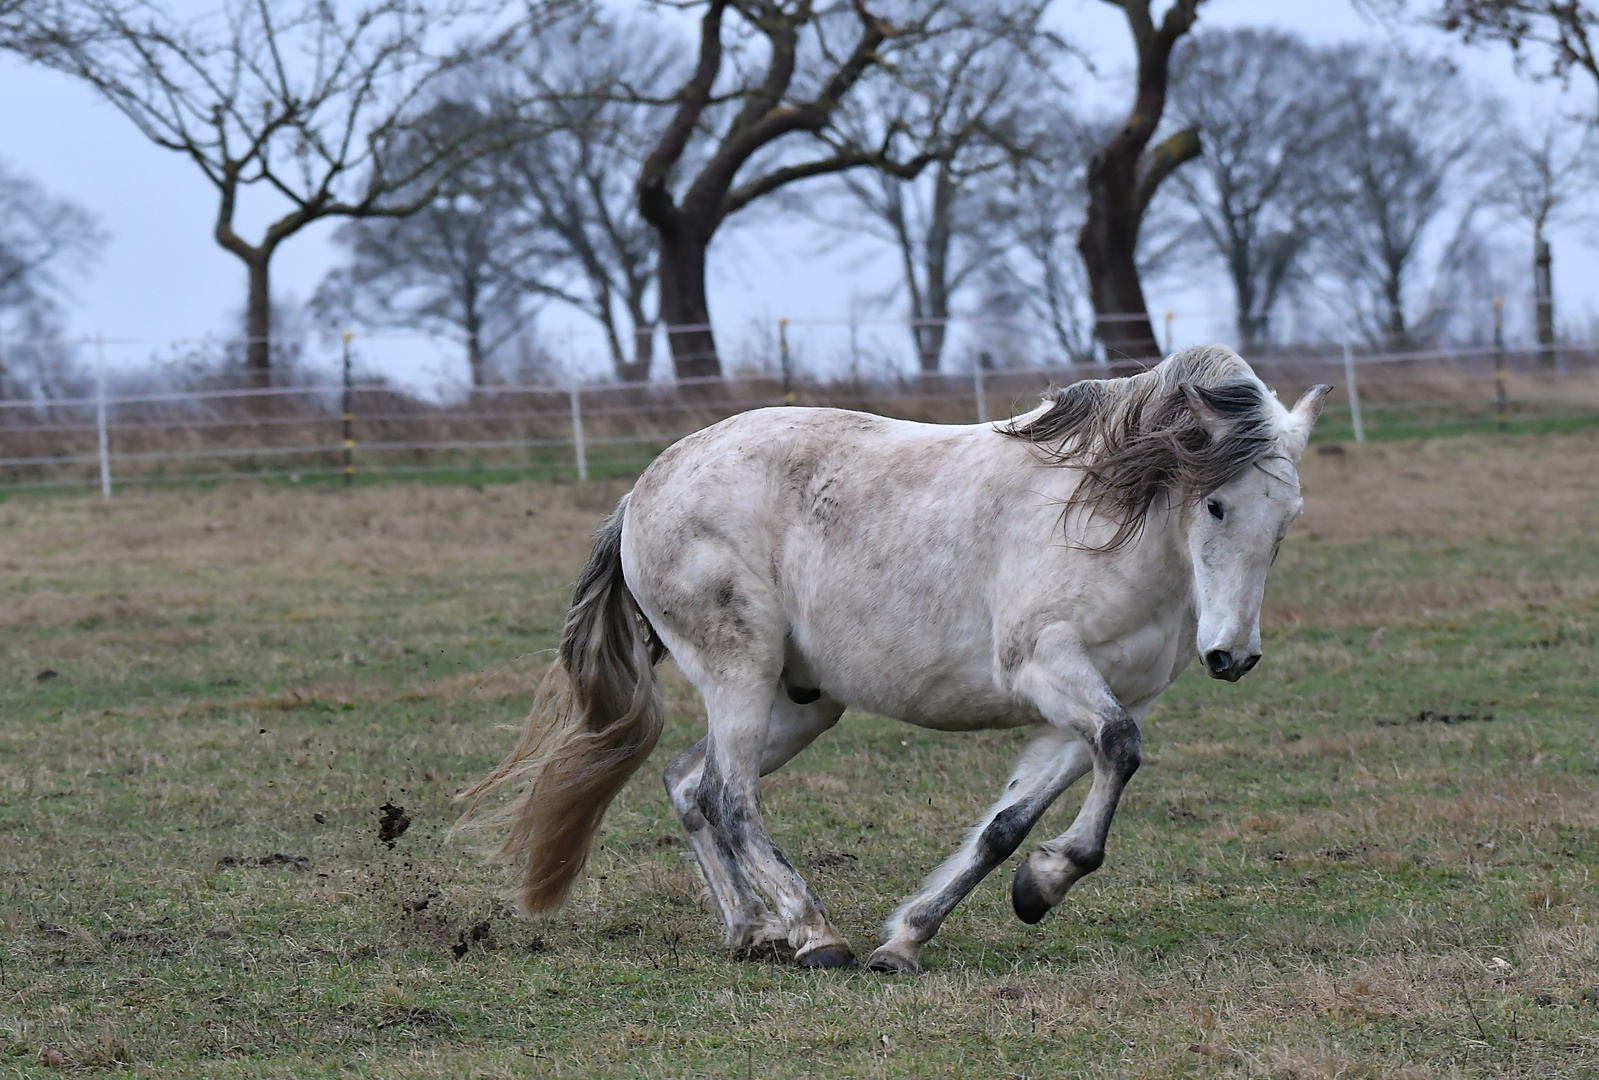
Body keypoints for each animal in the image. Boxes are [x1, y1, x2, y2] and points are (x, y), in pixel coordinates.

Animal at [457, 350, 1330, 972]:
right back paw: (813, 936)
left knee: (687, 784)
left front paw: (930, 930)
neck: (1109, 525)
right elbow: (1116, 751)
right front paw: (1038, 887)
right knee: (728, 795)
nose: (1231, 654)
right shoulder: (1047, 668)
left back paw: (751, 931)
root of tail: (641, 493)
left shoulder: (1092, 702)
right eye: (1214, 504)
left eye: (1287, 516)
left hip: (802, 702)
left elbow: (1008, 823)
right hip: (740, 673)